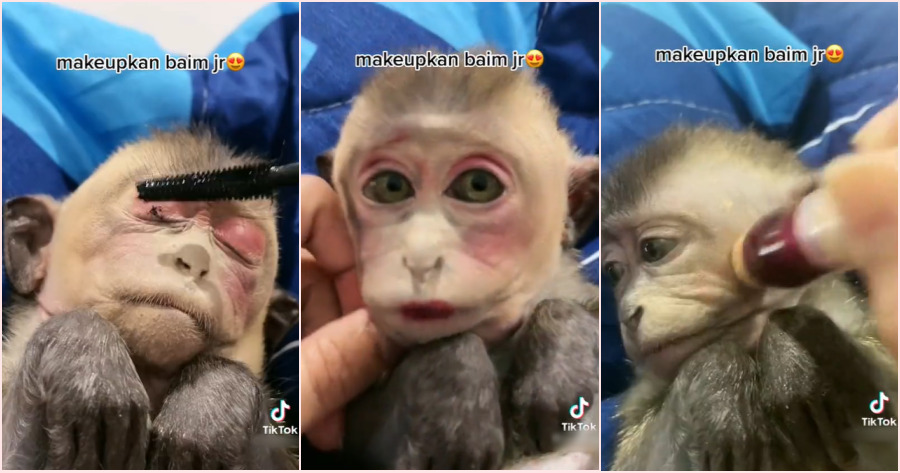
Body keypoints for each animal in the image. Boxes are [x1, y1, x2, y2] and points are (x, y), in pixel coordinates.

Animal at [600, 125, 899, 470]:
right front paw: (717, 376)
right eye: (613, 272)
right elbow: (640, 462)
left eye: (654, 249)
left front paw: (788, 347)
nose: (627, 315)